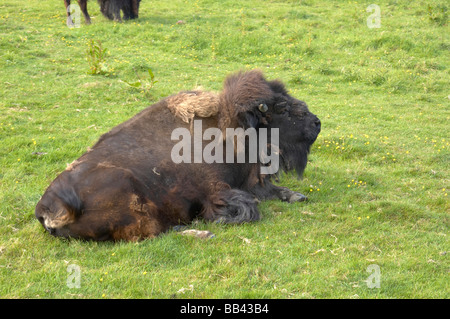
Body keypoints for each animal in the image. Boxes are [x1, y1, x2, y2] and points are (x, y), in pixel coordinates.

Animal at [37, 69, 322, 240]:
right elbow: (247, 207)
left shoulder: (248, 181)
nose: (317, 123)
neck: (229, 127)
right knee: (153, 233)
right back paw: (201, 233)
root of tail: (47, 207)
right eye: (282, 108)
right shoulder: (217, 190)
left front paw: (296, 195)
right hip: (130, 194)